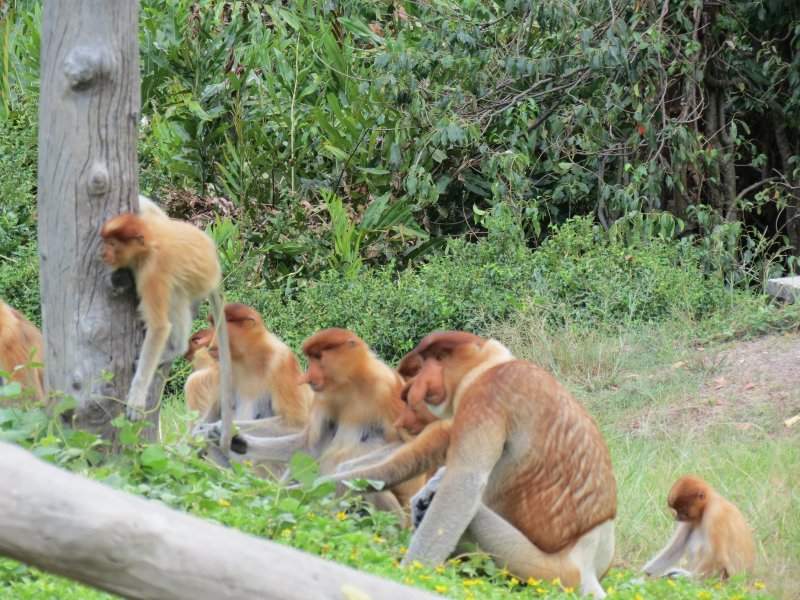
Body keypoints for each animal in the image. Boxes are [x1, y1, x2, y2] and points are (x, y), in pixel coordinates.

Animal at [99, 196, 235, 450]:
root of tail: (216, 273)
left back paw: (173, 350)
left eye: (112, 244)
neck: (149, 242)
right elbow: (149, 207)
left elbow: (160, 326)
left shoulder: (153, 273)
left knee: (176, 298)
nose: (103, 253)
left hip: (195, 285)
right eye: (106, 241)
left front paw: (136, 398)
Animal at [202, 328, 425, 520]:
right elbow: (309, 447)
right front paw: (231, 437)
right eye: (311, 359)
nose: (308, 376)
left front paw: (344, 469)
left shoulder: (387, 388)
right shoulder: (324, 397)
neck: (352, 382)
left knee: (372, 484)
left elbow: (410, 445)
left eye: (319, 358)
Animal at [324, 331, 617, 597]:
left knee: (471, 515)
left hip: (549, 571)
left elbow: (463, 484)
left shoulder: (485, 396)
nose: (411, 390)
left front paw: (408, 573)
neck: (491, 366)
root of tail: (590, 568)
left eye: (437, 359)